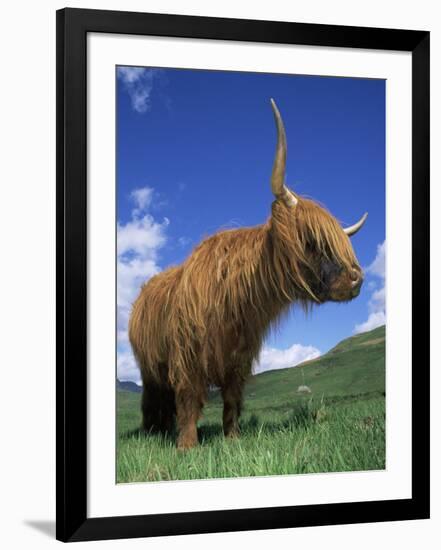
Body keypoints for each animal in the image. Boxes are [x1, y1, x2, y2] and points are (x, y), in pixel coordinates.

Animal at [129, 101, 366, 450]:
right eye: (311, 240)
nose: (356, 279)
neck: (235, 302)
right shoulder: (187, 357)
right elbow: (188, 399)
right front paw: (187, 445)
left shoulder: (238, 360)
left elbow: (231, 400)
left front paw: (233, 439)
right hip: (148, 367)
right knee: (154, 398)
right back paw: (153, 432)